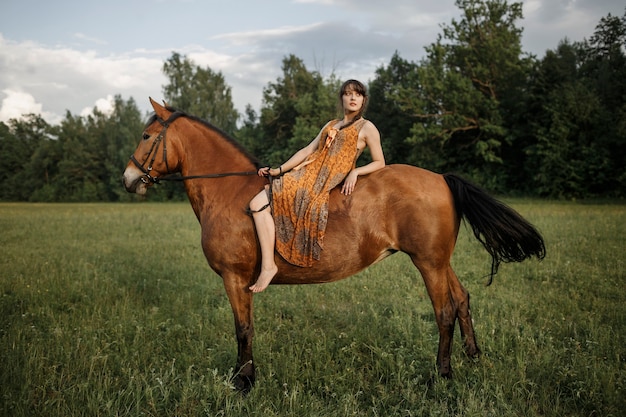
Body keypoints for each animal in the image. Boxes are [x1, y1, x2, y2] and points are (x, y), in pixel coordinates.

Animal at [120, 99, 540, 392]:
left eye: (145, 136)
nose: (128, 178)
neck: (228, 190)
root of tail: (440, 178)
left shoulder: (235, 279)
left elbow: (243, 329)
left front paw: (243, 380)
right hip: (439, 260)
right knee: (463, 299)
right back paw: (472, 357)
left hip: (428, 264)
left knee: (445, 312)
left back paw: (443, 375)